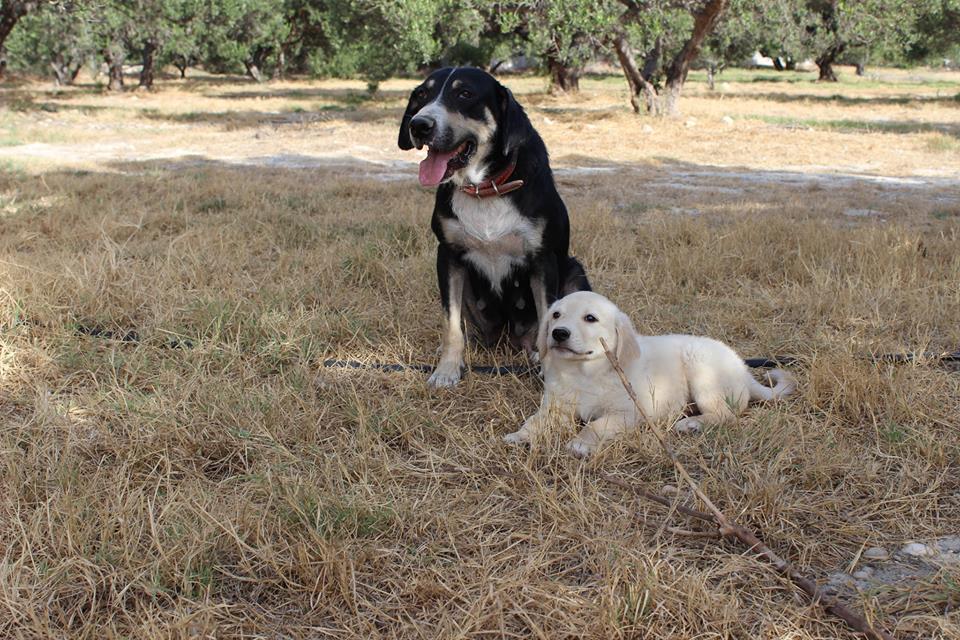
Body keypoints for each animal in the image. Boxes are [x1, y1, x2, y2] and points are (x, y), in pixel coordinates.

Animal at [398, 66, 592, 384]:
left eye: (465, 94)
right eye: (422, 95)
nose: (419, 125)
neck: (486, 188)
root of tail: (508, 339)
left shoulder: (543, 260)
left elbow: (546, 316)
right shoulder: (448, 256)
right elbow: (451, 324)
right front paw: (447, 368)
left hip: (574, 271)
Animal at [502, 290, 796, 456]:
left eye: (590, 318)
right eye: (556, 315)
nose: (558, 333)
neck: (585, 372)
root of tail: (743, 371)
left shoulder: (628, 412)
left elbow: (597, 425)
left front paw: (581, 444)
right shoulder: (556, 407)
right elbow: (534, 421)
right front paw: (520, 436)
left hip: (701, 370)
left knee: (727, 414)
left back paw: (693, 424)